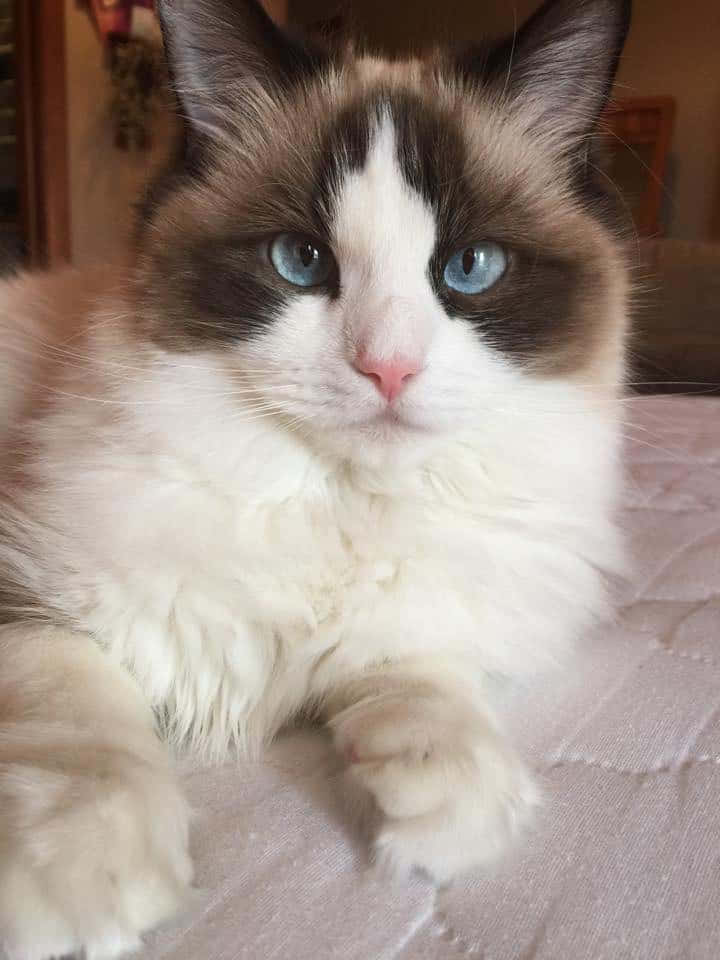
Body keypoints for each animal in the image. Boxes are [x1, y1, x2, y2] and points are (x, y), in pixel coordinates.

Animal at [0, 0, 632, 956]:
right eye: (300, 261)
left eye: (470, 267)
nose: (389, 368)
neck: (338, 501)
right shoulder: (31, 599)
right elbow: (82, 729)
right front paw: (86, 881)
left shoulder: (415, 624)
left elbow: (416, 674)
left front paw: (447, 807)